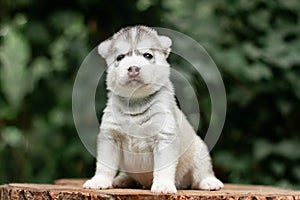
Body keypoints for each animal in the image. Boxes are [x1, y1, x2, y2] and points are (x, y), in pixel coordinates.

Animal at [83, 25, 224, 194]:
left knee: (201, 173)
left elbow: (163, 168)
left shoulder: (164, 137)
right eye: (120, 57)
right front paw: (99, 180)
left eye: (148, 55)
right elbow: (104, 165)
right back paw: (122, 179)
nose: (133, 68)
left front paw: (163, 185)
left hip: (199, 152)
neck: (136, 103)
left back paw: (209, 182)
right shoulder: (110, 137)